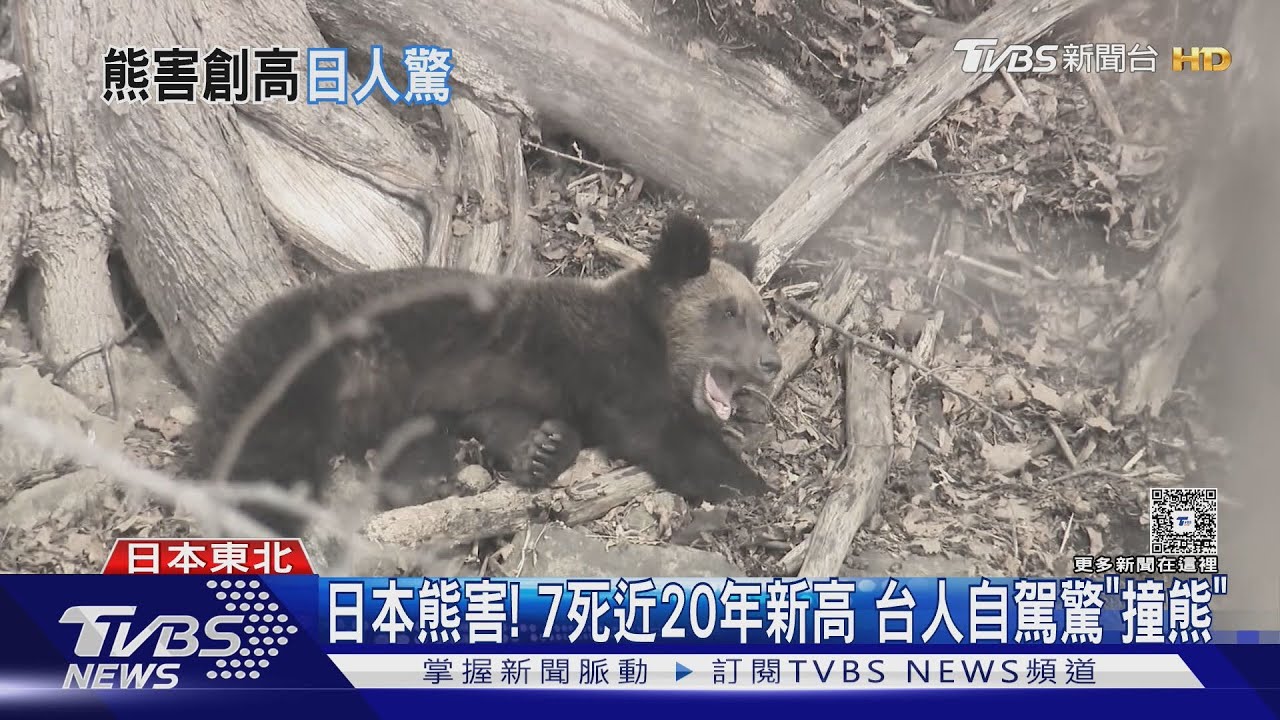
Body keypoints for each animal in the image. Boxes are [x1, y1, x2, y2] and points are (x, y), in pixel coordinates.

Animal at [184, 212, 781, 537]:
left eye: (764, 320)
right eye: (728, 312)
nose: (771, 362)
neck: (649, 333)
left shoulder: (502, 383)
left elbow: (506, 418)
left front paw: (543, 448)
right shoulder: (608, 361)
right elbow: (661, 432)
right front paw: (748, 482)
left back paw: (424, 479)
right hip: (303, 369)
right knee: (262, 460)